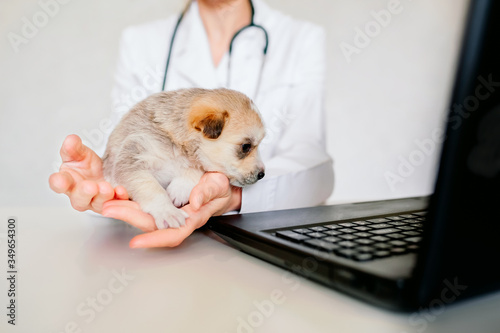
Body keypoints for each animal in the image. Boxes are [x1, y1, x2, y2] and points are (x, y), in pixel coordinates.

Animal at [101, 87, 266, 228]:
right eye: (246, 146)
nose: (262, 174)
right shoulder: (134, 157)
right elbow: (151, 188)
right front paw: (167, 211)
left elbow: (194, 169)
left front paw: (180, 188)